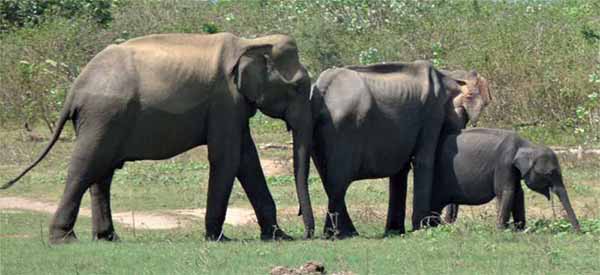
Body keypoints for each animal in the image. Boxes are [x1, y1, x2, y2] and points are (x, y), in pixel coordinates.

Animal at [1, 32, 318, 244]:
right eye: (298, 87)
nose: (306, 232)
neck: (249, 42)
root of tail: (74, 89)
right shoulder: (224, 101)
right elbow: (227, 158)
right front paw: (218, 239)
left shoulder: (235, 106)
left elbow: (247, 159)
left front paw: (278, 237)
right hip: (103, 115)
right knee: (85, 166)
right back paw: (65, 240)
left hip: (103, 120)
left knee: (101, 174)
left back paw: (108, 238)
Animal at [310, 61, 492, 238]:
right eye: (465, 114)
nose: (443, 222)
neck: (449, 74)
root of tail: (324, 85)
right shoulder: (431, 114)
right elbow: (424, 161)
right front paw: (421, 228)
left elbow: (401, 170)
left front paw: (395, 231)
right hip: (343, 130)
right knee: (338, 181)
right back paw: (340, 234)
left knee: (328, 179)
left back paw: (343, 233)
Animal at [432, 128, 580, 232]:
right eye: (550, 173)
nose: (579, 232)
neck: (527, 144)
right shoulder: (504, 164)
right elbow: (506, 191)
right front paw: (501, 230)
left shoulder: (514, 169)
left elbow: (519, 193)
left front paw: (520, 229)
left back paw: (446, 224)